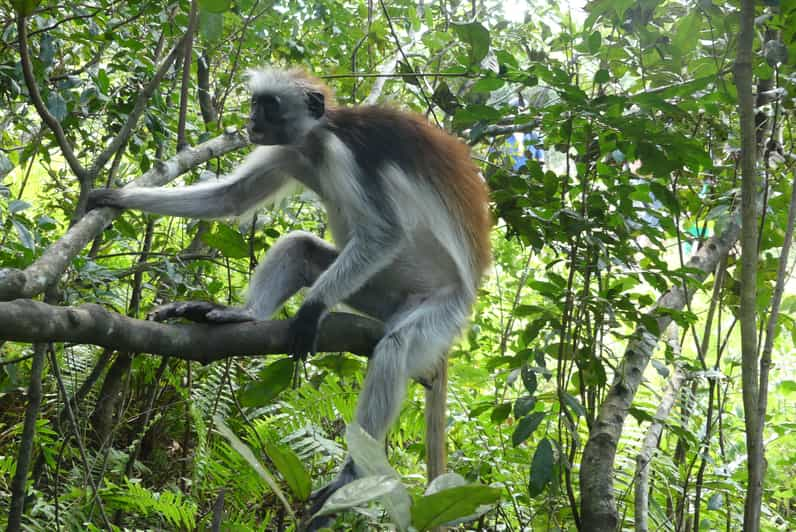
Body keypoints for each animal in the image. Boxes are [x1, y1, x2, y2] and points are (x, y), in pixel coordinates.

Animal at [85, 67, 486, 528]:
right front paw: (116, 196)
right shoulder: (289, 152)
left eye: (269, 105)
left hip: (441, 307)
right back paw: (244, 314)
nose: (250, 119)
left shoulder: (346, 156)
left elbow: (385, 235)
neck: (316, 142)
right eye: (255, 103)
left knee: (397, 344)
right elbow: (231, 198)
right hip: (376, 291)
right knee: (300, 246)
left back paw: (353, 473)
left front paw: (311, 309)